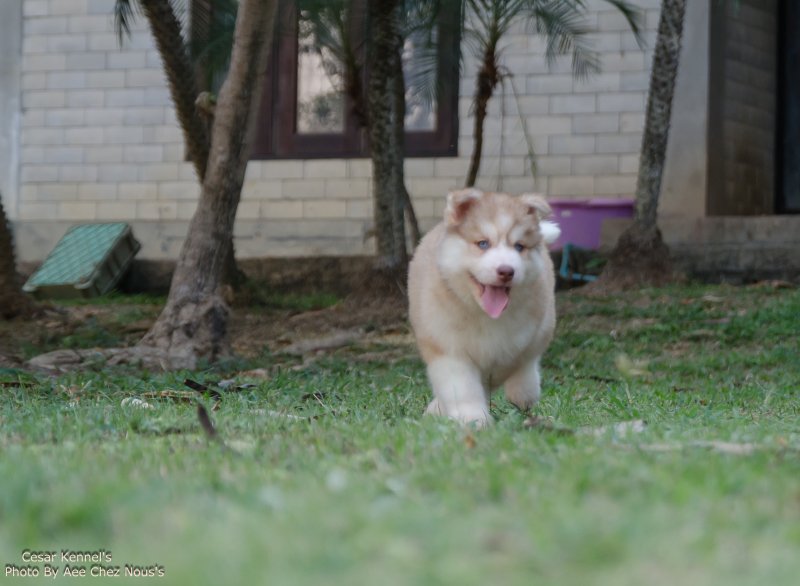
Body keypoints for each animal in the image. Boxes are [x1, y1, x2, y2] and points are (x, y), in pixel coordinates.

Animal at [407, 188, 560, 427]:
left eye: (519, 247)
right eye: (483, 244)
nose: (506, 271)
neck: (484, 314)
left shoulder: (525, 338)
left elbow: (518, 363)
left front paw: (521, 393)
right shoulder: (448, 348)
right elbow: (462, 388)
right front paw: (474, 418)